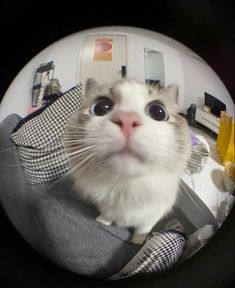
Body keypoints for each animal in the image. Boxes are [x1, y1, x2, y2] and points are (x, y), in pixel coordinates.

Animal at [63, 77, 192, 244]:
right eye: (101, 107)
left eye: (158, 112)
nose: (127, 119)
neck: (126, 187)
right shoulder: (105, 206)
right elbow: (107, 216)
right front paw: (102, 222)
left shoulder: (152, 216)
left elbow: (142, 230)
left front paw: (137, 243)